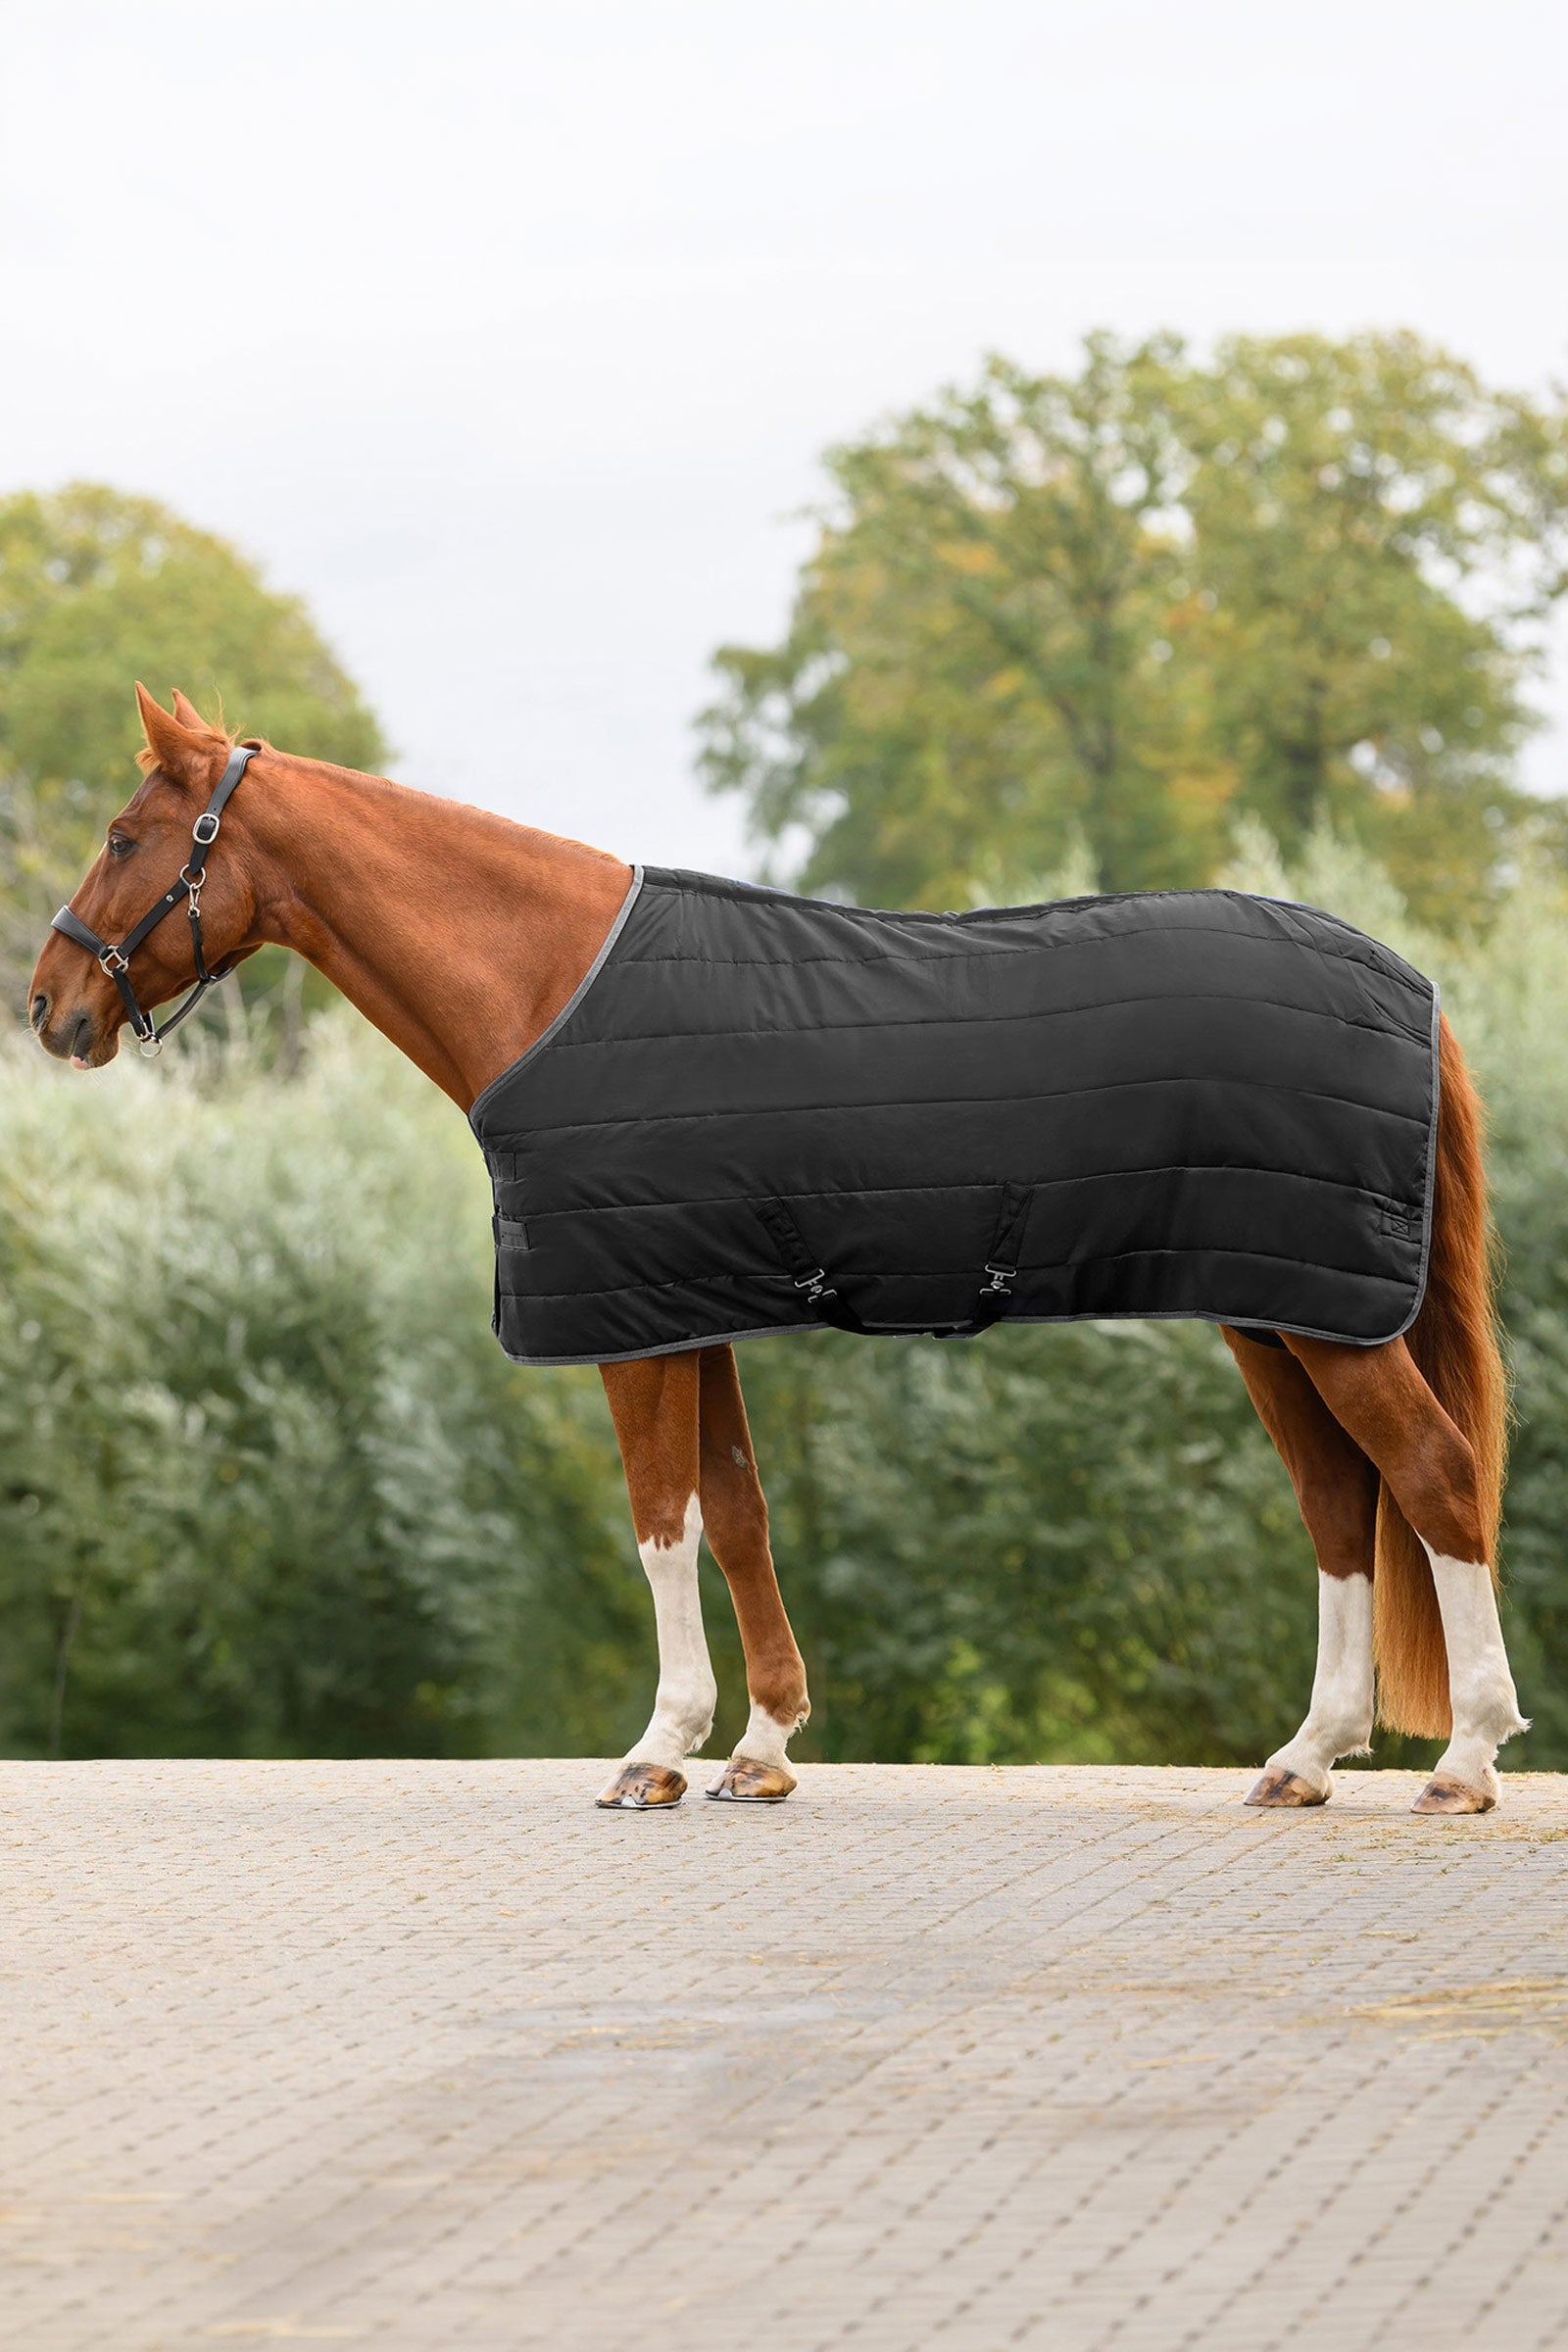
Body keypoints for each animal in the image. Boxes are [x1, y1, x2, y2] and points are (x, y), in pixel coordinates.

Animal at [28, 687, 1527, 1814]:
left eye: (123, 833)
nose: (49, 1008)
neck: (552, 985)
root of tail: (1411, 984)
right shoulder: (691, 1312)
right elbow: (738, 1513)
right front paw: (761, 1748)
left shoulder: (632, 1328)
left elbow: (661, 1522)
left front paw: (658, 1750)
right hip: (1278, 1311)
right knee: (1339, 1505)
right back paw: (1305, 1759)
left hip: (1327, 1319)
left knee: (1434, 1476)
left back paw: (1463, 1759)